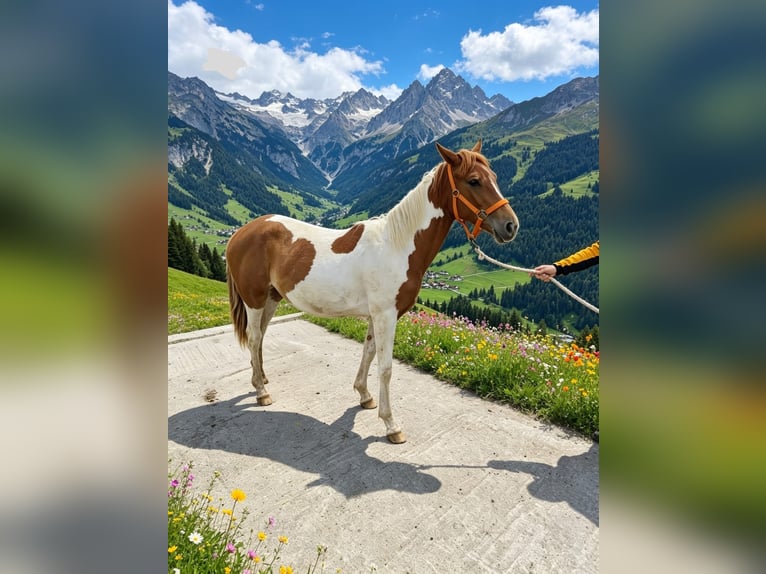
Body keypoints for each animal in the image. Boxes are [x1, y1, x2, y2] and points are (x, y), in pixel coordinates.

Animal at [225, 140, 519, 443]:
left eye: (494, 177)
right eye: (474, 181)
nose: (511, 226)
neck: (398, 246)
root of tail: (239, 233)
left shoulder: (375, 316)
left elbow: (367, 353)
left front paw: (364, 396)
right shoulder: (385, 316)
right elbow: (386, 367)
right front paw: (391, 425)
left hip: (271, 299)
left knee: (260, 338)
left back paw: (261, 379)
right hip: (254, 299)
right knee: (254, 338)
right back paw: (262, 392)